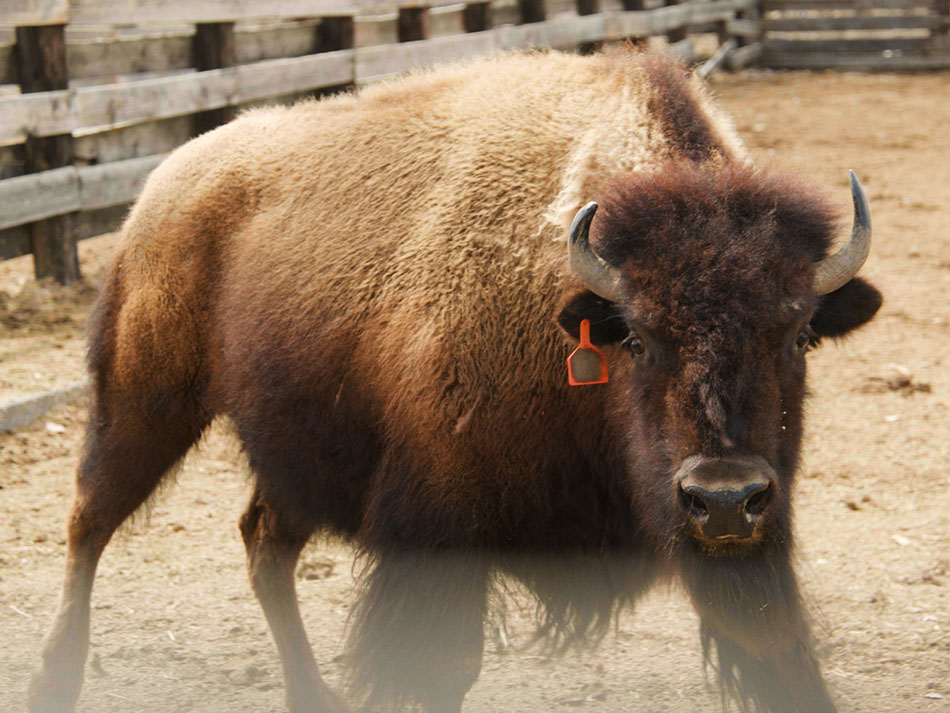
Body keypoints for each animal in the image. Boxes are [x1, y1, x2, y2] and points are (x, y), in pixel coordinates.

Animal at [28, 47, 881, 713]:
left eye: (798, 333)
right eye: (637, 335)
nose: (725, 496)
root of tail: (166, 184)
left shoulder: (754, 546)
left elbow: (779, 655)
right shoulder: (436, 531)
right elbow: (436, 670)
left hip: (293, 449)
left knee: (262, 542)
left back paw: (310, 691)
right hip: (144, 400)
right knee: (87, 520)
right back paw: (55, 679)